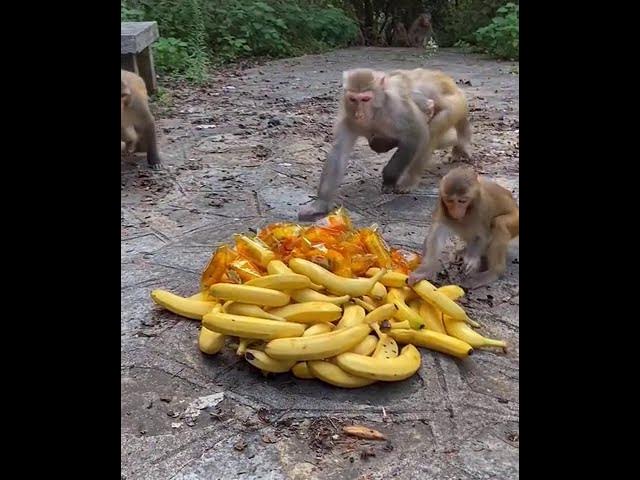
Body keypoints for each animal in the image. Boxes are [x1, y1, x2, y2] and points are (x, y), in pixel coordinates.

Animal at [297, 68, 471, 221]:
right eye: (353, 99)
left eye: (365, 99)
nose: (359, 114)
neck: (373, 114)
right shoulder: (348, 117)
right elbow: (338, 153)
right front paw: (320, 204)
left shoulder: (396, 109)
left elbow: (417, 134)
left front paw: (389, 179)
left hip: (452, 106)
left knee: (432, 131)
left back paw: (412, 179)